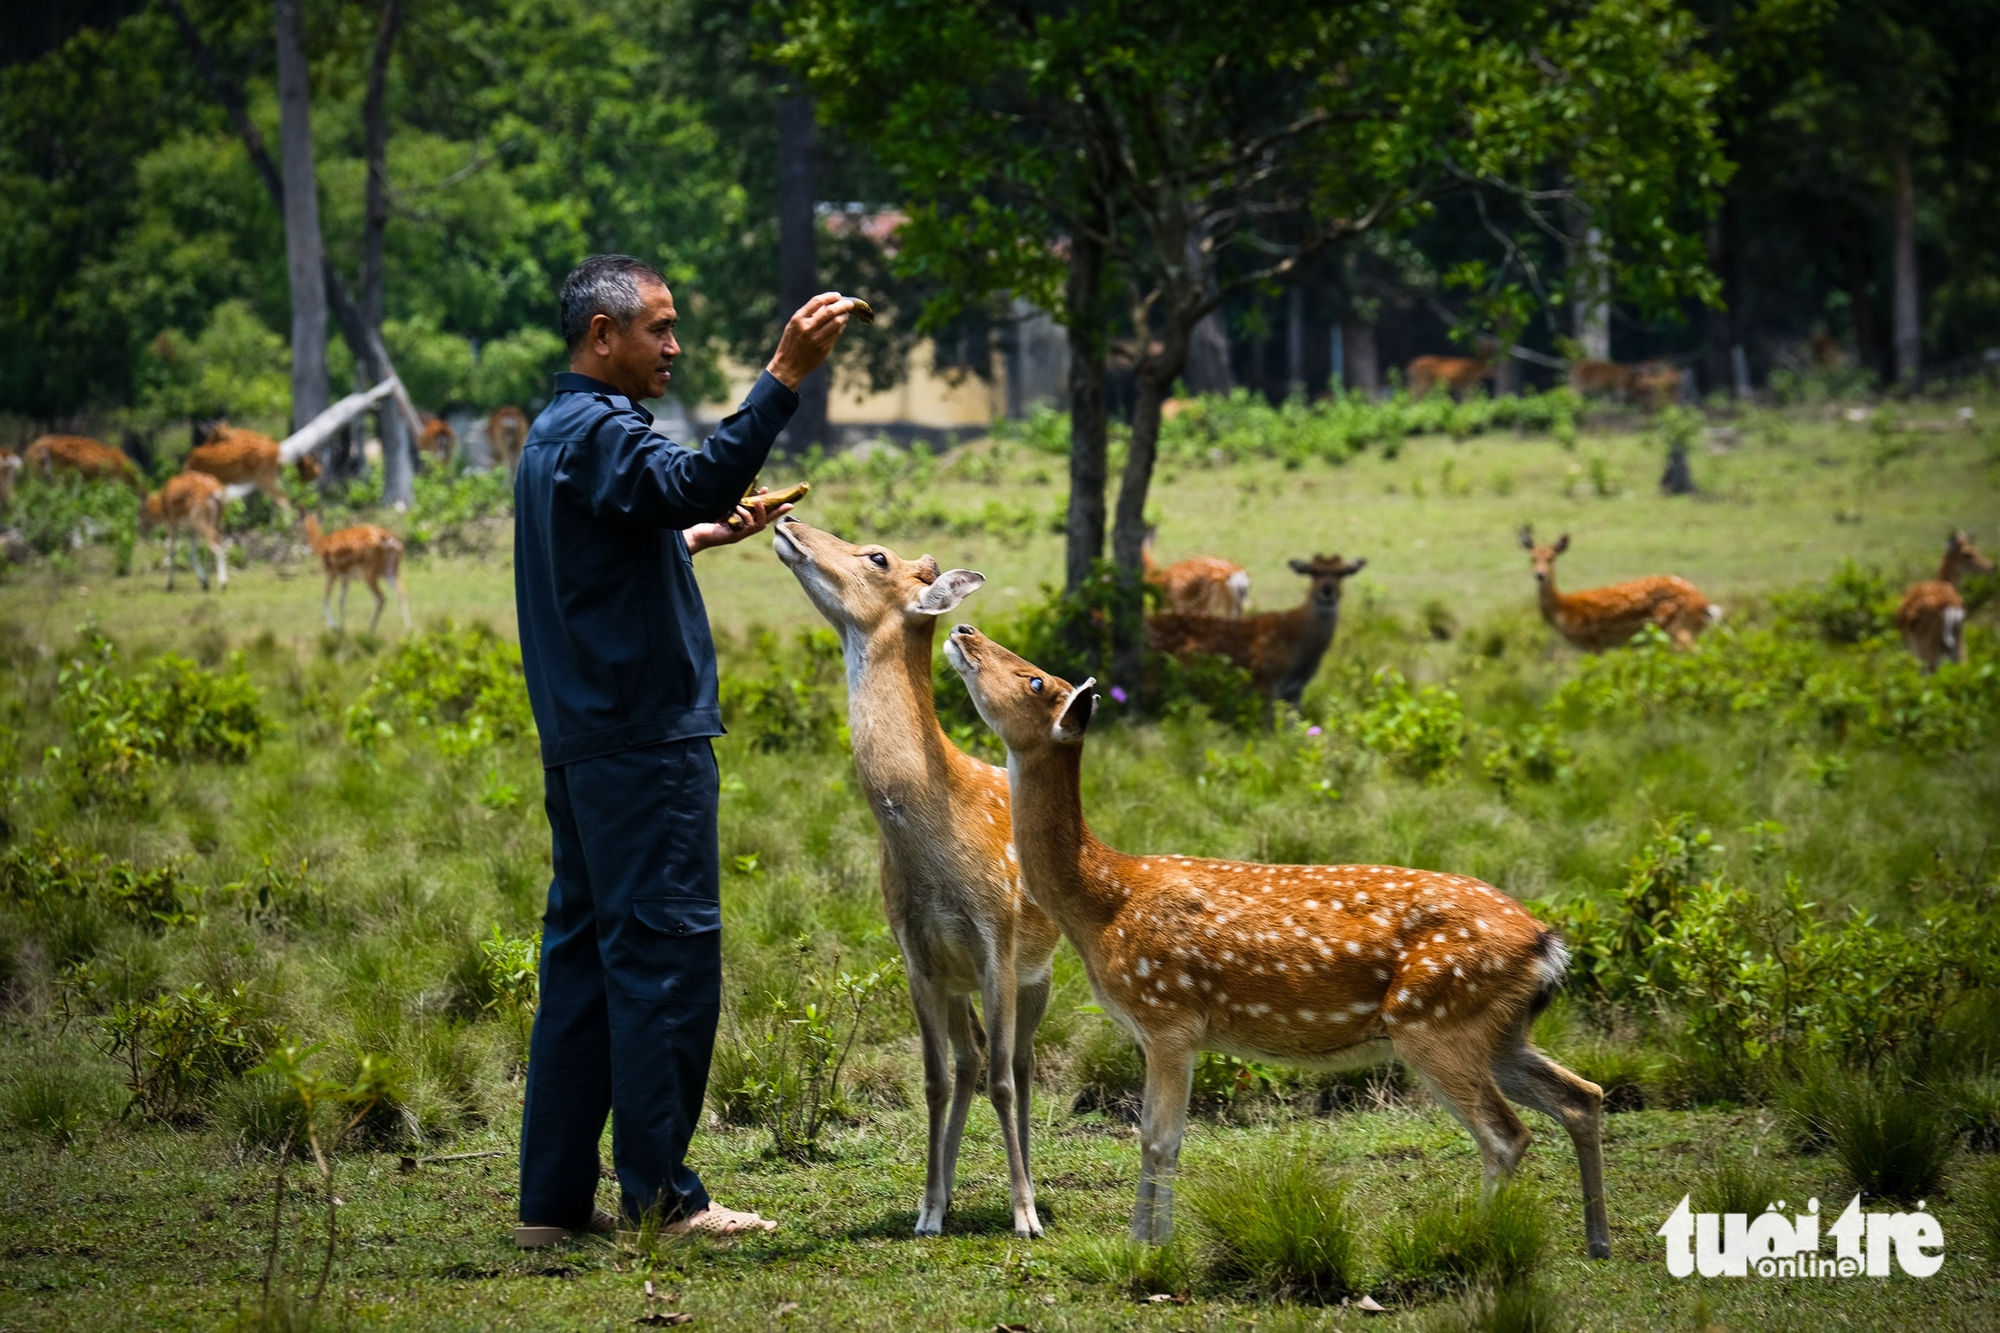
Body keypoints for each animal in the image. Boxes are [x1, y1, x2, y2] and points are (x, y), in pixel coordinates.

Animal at [771, 517, 1060, 1238]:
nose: (786, 520)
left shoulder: (997, 940)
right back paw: (948, 1193)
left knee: (1019, 1062)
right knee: (971, 1058)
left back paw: (1031, 1188)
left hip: (1040, 971)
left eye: (876, 556)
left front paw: (1024, 1212)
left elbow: (1005, 1081)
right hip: (959, 982)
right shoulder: (917, 949)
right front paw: (927, 1209)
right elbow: (932, 1077)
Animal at [942, 625, 1610, 1256]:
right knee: (1582, 1095)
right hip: (1499, 1029)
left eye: (1034, 680)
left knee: (1506, 1135)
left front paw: (1149, 1246)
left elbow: (1159, 1139)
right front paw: (1147, 1241)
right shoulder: (1165, 1030)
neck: (1103, 903)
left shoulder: (1168, 1015)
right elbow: (1161, 1139)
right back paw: (1596, 1241)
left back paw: (1472, 1239)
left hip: (1434, 1020)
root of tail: (1546, 943)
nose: (965, 631)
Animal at [1519, 527, 1719, 652]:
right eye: (1532, 558)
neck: (1563, 610)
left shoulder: (1592, 641)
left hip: (1676, 627)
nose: (1540, 575)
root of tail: (1705, 605)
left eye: (1551, 558)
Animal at [1898, 531, 1994, 673]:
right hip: (1957, 640)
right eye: (1967, 554)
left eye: (1977, 549)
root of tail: (1950, 606)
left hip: (1928, 645)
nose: (1992, 566)